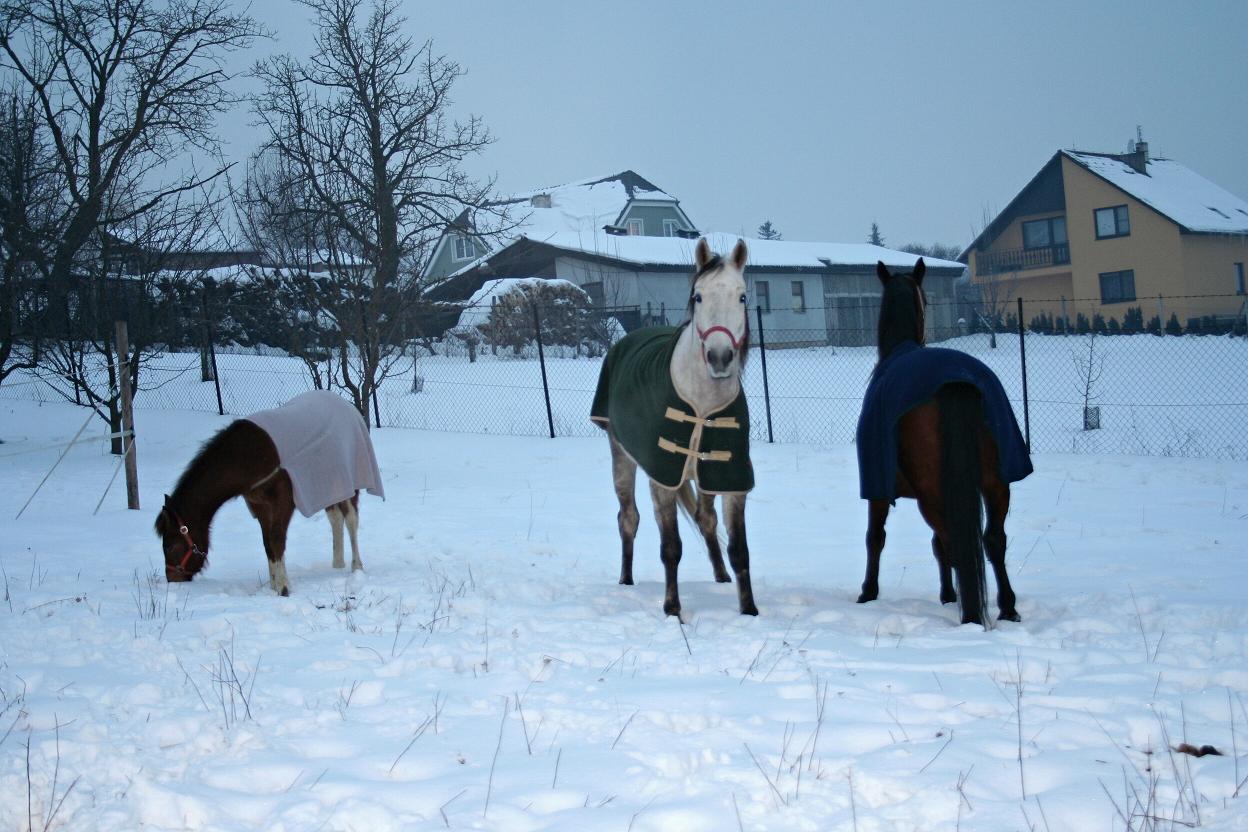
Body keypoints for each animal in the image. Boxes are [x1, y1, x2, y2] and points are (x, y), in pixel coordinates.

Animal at [158, 386, 386, 596]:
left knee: (351, 520)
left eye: (169, 546)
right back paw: (337, 565)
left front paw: (284, 588)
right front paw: (274, 584)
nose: (172, 580)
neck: (245, 458)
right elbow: (267, 542)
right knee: (336, 519)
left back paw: (356, 567)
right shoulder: (260, 506)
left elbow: (277, 539)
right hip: (331, 485)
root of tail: (348, 406)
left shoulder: (283, 503)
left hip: (350, 484)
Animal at [589, 237, 753, 616]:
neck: (701, 405)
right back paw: (626, 580)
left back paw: (721, 577)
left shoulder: (730, 478)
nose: (720, 357)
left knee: (705, 519)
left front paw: (749, 611)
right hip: (623, 457)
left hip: (704, 479)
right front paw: (672, 609)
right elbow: (671, 548)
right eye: (698, 296)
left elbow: (739, 550)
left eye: (742, 296)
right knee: (628, 519)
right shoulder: (663, 477)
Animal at [848, 260, 1033, 623]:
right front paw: (948, 594)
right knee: (992, 540)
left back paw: (972, 613)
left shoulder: (877, 490)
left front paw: (868, 592)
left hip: (931, 491)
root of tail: (956, 382)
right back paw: (1006, 607)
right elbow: (937, 545)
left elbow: (875, 538)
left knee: (954, 540)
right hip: (995, 482)